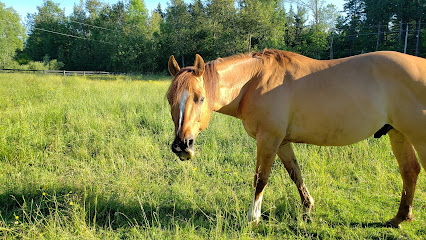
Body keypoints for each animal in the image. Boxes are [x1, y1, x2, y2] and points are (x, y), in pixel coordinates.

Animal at [166, 49, 426, 228]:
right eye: (170, 98)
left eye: (200, 98)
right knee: (409, 171)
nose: (181, 146)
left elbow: (260, 179)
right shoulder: (282, 142)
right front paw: (307, 208)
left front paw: (253, 218)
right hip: (398, 133)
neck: (255, 81)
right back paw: (400, 218)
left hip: (418, 137)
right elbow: (295, 174)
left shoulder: (268, 139)